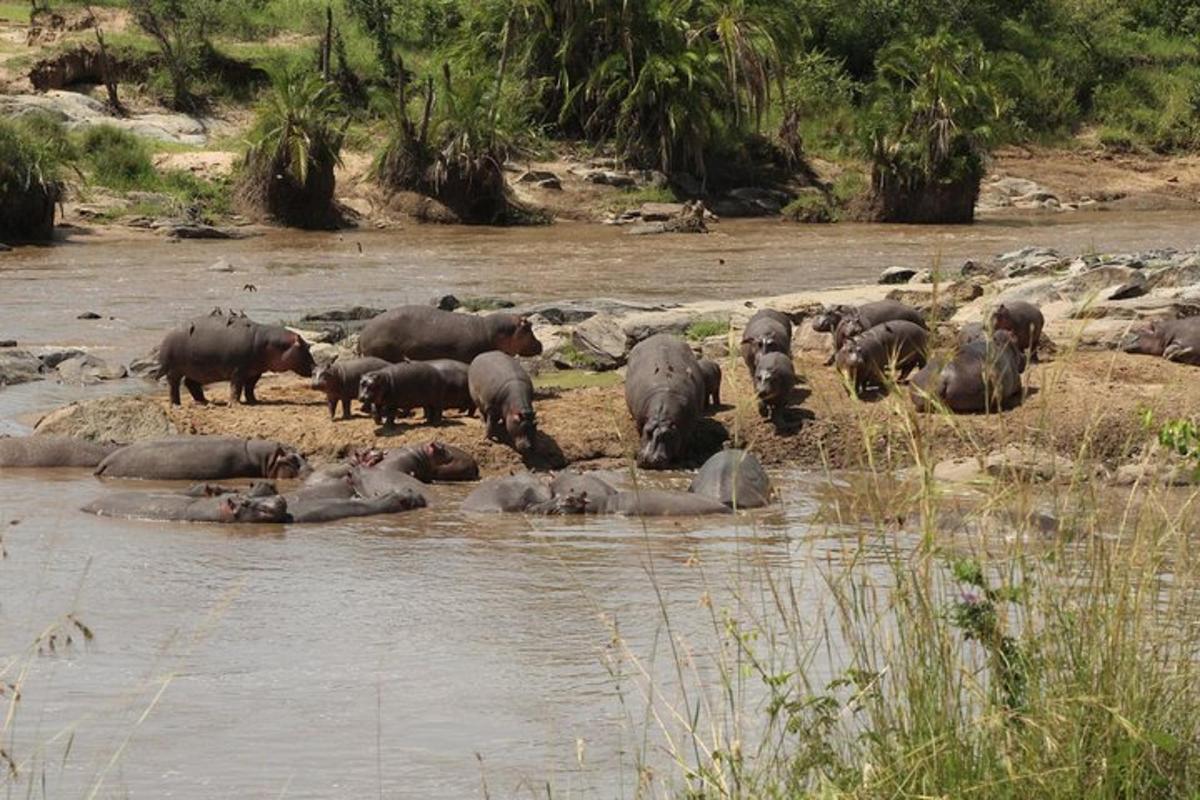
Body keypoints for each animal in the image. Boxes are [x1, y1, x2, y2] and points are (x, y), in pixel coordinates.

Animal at [157, 309, 316, 407]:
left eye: (308, 345)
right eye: (305, 348)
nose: (316, 368)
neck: (269, 343)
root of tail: (169, 333)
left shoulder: (255, 372)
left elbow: (250, 387)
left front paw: (254, 401)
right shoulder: (238, 370)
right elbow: (236, 387)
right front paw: (235, 404)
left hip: (196, 370)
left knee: (191, 384)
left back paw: (204, 401)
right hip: (175, 370)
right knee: (174, 386)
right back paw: (176, 405)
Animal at [624, 335, 705, 472]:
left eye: (667, 435)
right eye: (647, 431)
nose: (649, 460)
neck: (662, 418)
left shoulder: (686, 429)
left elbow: (683, 443)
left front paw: (680, 460)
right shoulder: (641, 423)